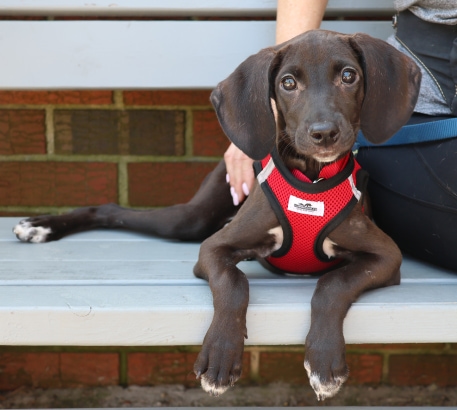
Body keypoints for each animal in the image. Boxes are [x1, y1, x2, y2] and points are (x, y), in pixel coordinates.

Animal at [13, 29, 420, 400]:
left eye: (349, 76)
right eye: (288, 83)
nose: (324, 133)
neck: (312, 179)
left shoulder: (386, 256)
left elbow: (332, 284)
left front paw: (323, 359)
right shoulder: (213, 248)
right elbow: (232, 283)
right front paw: (222, 353)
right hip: (191, 219)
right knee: (114, 210)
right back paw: (40, 225)